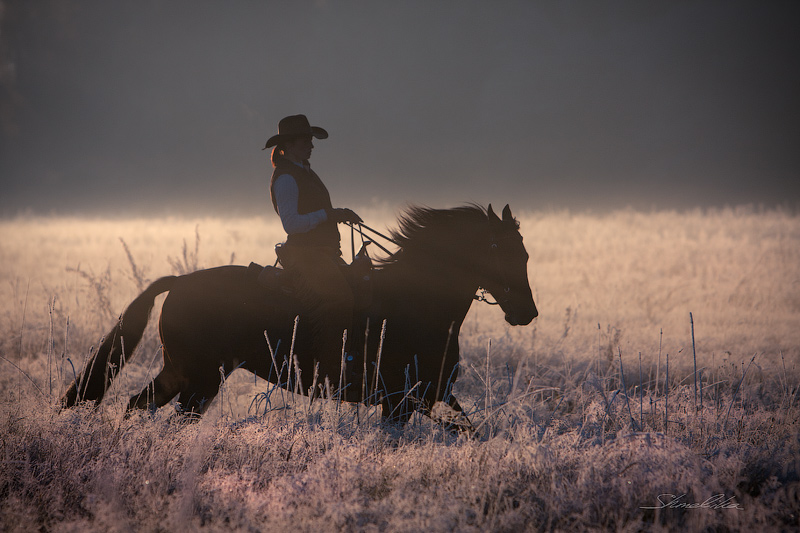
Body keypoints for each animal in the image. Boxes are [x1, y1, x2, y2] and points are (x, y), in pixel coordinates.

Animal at [61, 204, 536, 432]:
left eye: (525, 253)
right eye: (502, 250)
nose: (527, 312)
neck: (418, 302)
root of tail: (179, 282)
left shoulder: (428, 397)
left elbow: (472, 431)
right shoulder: (399, 402)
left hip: (180, 373)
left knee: (137, 403)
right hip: (200, 380)